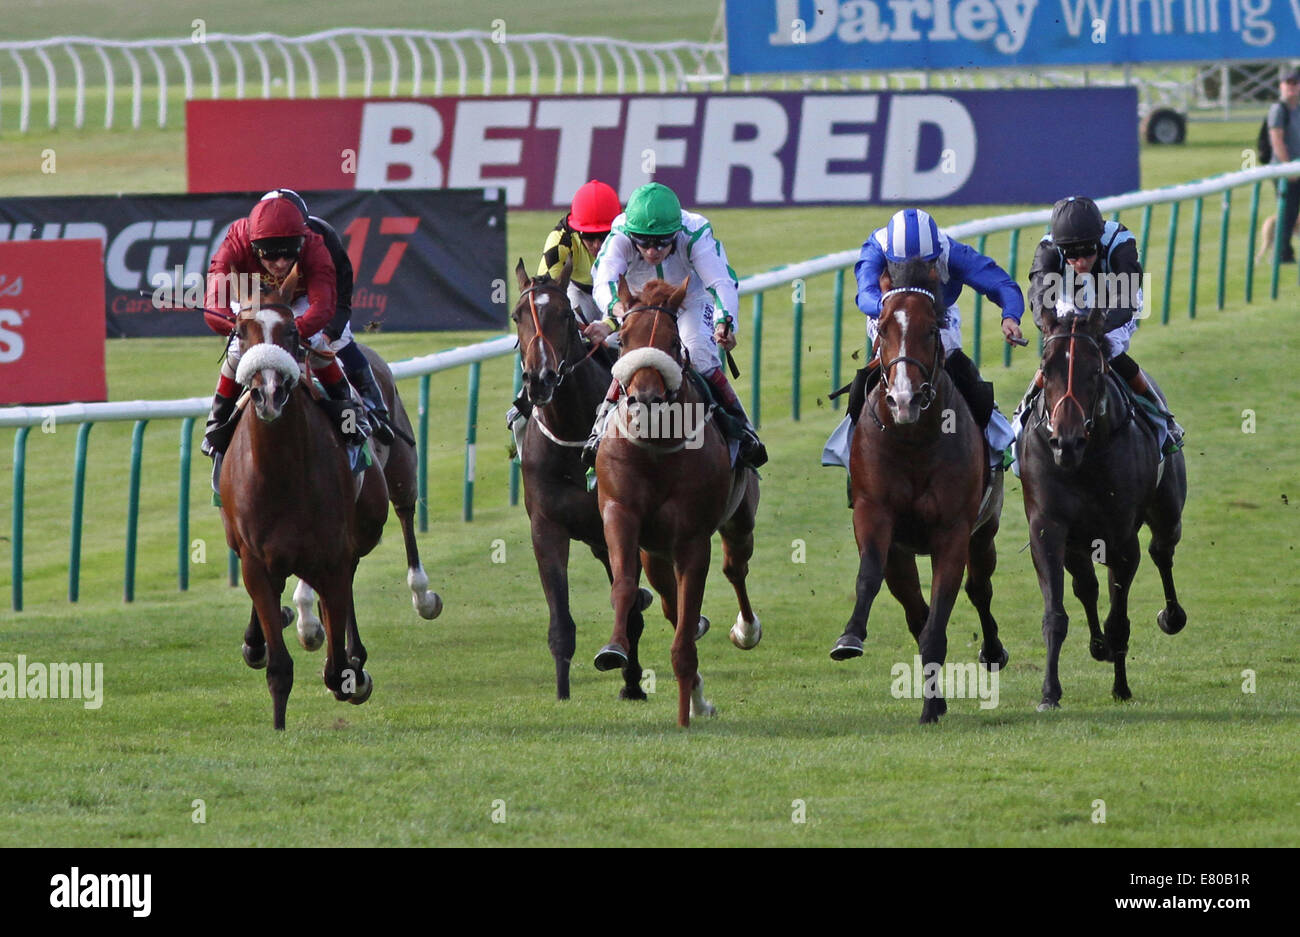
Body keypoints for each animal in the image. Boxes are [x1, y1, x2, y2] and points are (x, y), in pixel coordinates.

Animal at [506, 259, 650, 696]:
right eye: (517, 316)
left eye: (565, 315)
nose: (540, 379)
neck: (573, 435)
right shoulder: (547, 526)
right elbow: (561, 624)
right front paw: (562, 694)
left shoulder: (625, 522)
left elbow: (630, 604)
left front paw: (632, 681)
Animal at [592, 274, 759, 727]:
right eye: (624, 339)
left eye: (670, 340)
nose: (646, 399)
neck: (655, 447)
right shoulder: (620, 515)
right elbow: (625, 587)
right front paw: (612, 649)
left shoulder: (692, 539)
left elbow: (685, 635)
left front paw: (686, 716)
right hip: (655, 553)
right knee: (669, 603)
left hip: (740, 520)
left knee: (734, 568)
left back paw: (745, 632)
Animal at [832, 257, 1003, 722]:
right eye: (884, 326)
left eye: (931, 329)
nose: (904, 399)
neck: (913, 439)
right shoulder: (875, 516)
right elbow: (870, 577)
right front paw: (850, 637)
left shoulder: (954, 531)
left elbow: (940, 616)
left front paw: (929, 708)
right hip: (904, 553)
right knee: (915, 609)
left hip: (986, 529)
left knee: (979, 589)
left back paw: (992, 651)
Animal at [1013, 306, 1190, 706]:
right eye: (1046, 369)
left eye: (1095, 370)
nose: (1066, 443)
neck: (1085, 460)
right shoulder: (1048, 527)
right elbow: (1056, 613)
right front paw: (1049, 693)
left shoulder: (1121, 538)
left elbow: (1119, 619)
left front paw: (1121, 686)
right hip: (1078, 542)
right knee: (1086, 586)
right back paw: (1098, 646)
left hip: (1167, 512)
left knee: (1162, 551)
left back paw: (1170, 617)